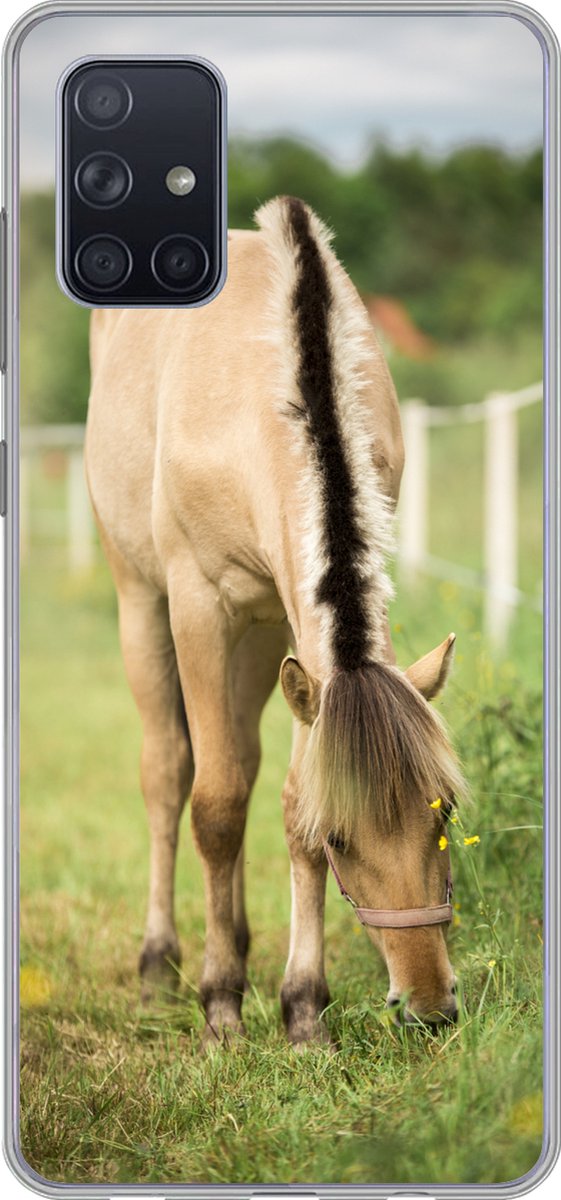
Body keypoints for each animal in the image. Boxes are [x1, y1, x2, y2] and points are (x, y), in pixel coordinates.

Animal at [86, 195, 465, 1046]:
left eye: (442, 811)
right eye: (345, 839)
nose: (428, 1006)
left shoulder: (297, 632)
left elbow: (289, 804)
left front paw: (303, 1007)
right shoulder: (199, 604)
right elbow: (217, 805)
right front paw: (221, 1003)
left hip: (260, 639)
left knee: (242, 757)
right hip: (141, 602)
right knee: (169, 772)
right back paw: (162, 963)